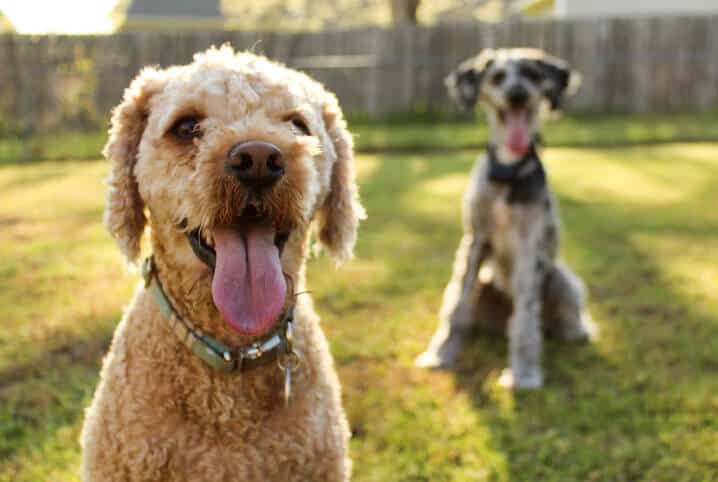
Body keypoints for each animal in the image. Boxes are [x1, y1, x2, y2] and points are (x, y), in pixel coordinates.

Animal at [414, 48, 600, 388]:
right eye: (497, 77)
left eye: (532, 74)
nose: (517, 94)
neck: (508, 171)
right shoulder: (475, 240)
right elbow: (457, 304)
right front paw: (441, 353)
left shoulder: (530, 246)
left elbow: (525, 315)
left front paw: (523, 373)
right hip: (486, 283)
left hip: (560, 279)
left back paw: (575, 332)